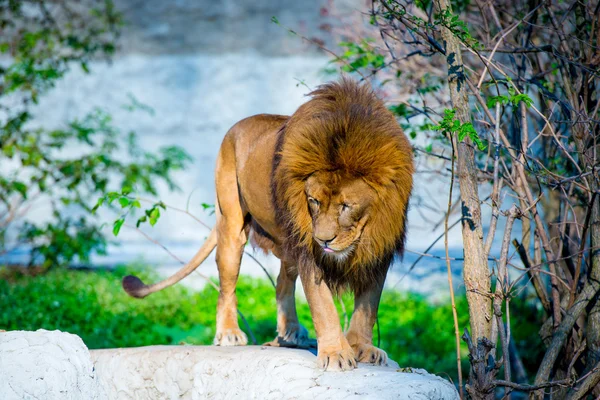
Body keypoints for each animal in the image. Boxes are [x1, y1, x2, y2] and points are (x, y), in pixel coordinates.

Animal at [122, 78, 412, 372]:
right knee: (227, 288)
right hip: (232, 225)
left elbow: (367, 308)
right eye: (313, 201)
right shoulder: (309, 250)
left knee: (282, 282)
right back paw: (229, 333)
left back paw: (292, 333)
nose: (323, 240)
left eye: (346, 206)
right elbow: (324, 307)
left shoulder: (380, 249)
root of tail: (236, 126)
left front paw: (362, 347)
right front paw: (335, 353)